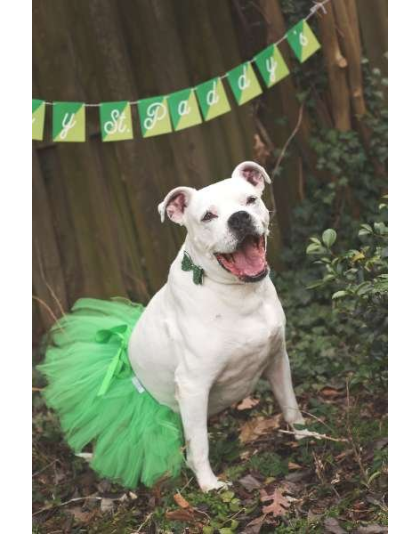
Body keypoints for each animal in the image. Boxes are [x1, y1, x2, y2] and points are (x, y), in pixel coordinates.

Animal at [128, 161, 306, 492]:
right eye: (208, 216)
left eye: (250, 200)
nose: (239, 218)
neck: (238, 294)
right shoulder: (193, 387)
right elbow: (199, 445)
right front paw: (210, 486)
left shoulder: (278, 359)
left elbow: (291, 405)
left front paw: (308, 438)